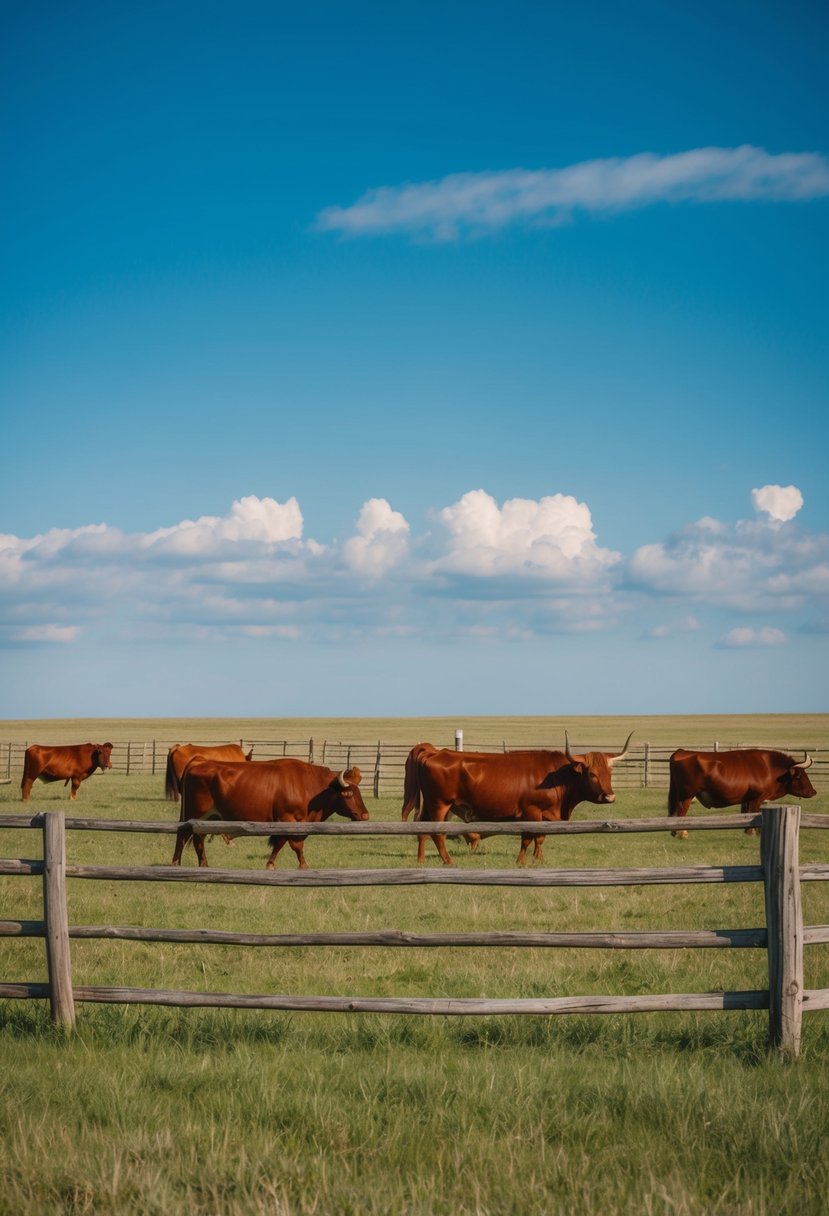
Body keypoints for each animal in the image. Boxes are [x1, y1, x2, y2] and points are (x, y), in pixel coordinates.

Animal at [171, 753, 367, 870]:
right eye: (348, 794)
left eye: (358, 792)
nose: (365, 815)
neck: (308, 785)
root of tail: (199, 760)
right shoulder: (288, 819)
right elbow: (295, 845)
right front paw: (303, 865)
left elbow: (280, 843)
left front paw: (270, 864)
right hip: (195, 814)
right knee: (184, 836)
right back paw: (177, 863)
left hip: (207, 818)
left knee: (198, 839)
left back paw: (203, 865)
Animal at [410, 729, 627, 865]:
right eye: (592, 774)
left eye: (609, 772)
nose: (609, 796)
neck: (555, 776)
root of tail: (435, 752)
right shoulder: (532, 812)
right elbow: (528, 838)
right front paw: (521, 861)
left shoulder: (545, 815)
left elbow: (540, 838)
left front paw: (539, 859)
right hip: (440, 805)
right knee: (437, 834)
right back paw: (448, 861)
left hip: (432, 806)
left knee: (423, 831)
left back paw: (421, 860)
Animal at [666, 744, 811, 841]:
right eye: (800, 775)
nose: (812, 791)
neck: (768, 767)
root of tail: (681, 752)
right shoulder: (757, 797)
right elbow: (753, 812)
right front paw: (751, 832)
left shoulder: (748, 799)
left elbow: (748, 814)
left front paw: (749, 831)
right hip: (686, 796)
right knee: (681, 812)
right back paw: (681, 833)